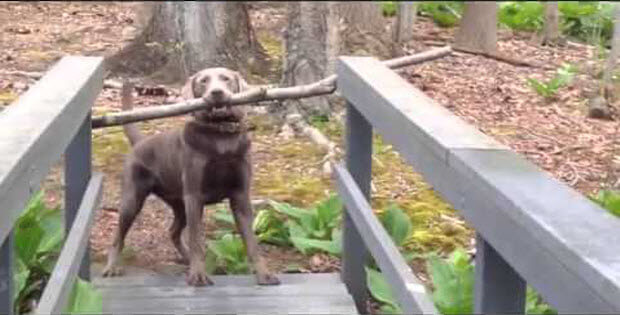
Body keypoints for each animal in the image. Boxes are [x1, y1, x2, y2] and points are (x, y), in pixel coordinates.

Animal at [102, 68, 280, 288]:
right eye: (203, 81)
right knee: (118, 236)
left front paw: (264, 274)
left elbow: (252, 242)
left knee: (173, 231)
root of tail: (140, 142)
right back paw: (112, 267)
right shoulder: (195, 196)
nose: (217, 93)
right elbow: (196, 239)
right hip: (133, 199)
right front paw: (198, 274)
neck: (221, 136)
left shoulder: (240, 196)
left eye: (226, 79)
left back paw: (185, 258)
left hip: (180, 204)